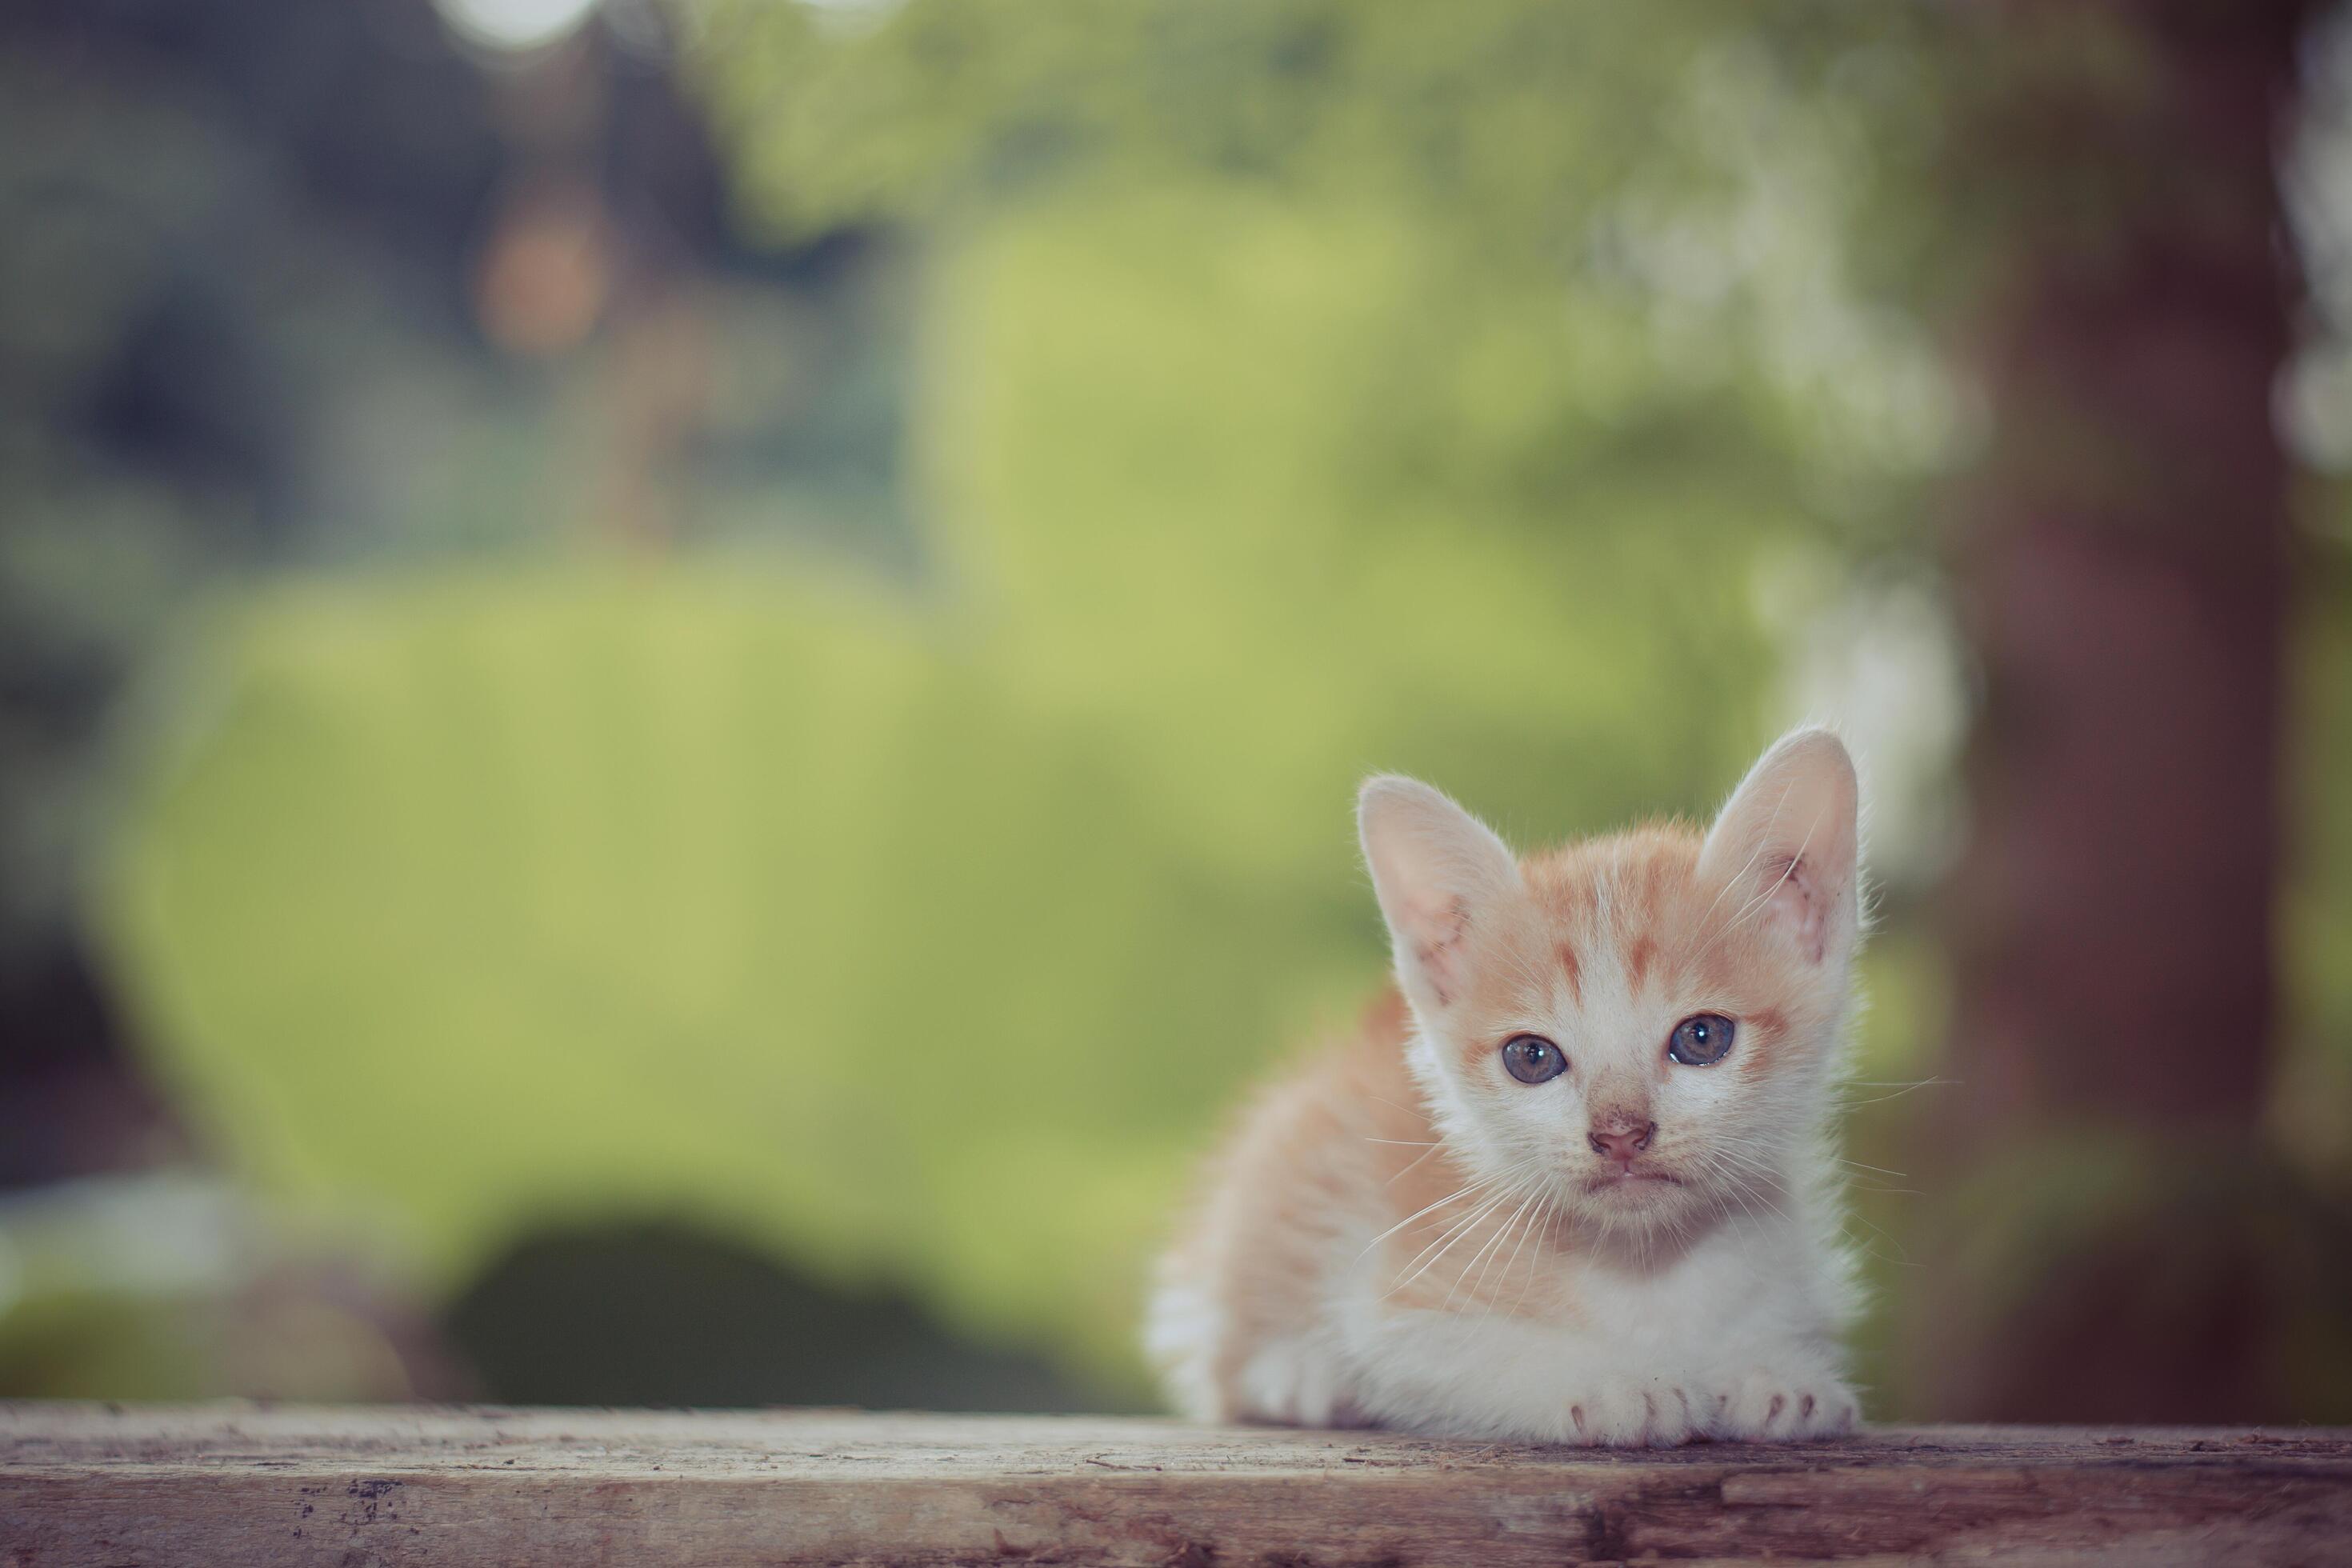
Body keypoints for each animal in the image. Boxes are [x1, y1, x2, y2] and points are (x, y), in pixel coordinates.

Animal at [1147, 728, 1862, 1438]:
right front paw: (1615, 1381)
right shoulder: (1396, 1303)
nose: (1620, 1133)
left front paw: (1774, 1371)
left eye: (1703, 1038)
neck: (1645, 1265)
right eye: (1532, 1058)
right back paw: (1302, 1375)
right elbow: (1475, 1351)